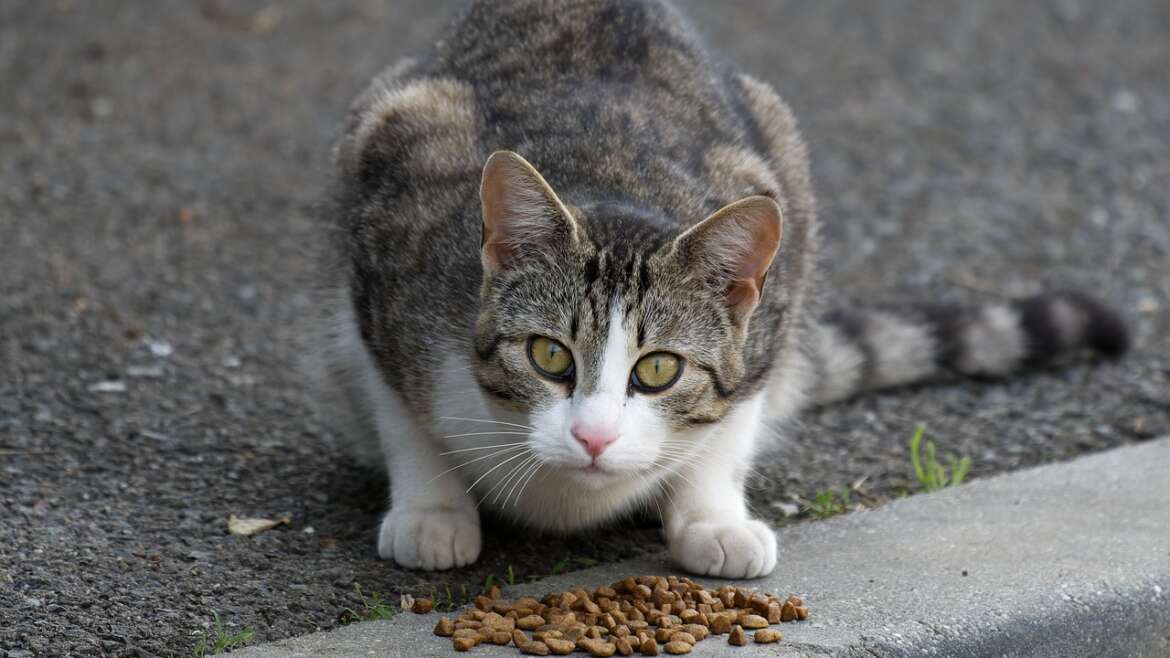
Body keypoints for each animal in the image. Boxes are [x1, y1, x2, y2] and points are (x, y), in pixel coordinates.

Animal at [306, 0, 1127, 573]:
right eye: (549, 356)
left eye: (659, 370)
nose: (593, 436)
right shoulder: (388, 255)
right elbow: (402, 415)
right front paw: (433, 511)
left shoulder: (778, 276)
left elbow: (730, 424)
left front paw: (711, 518)